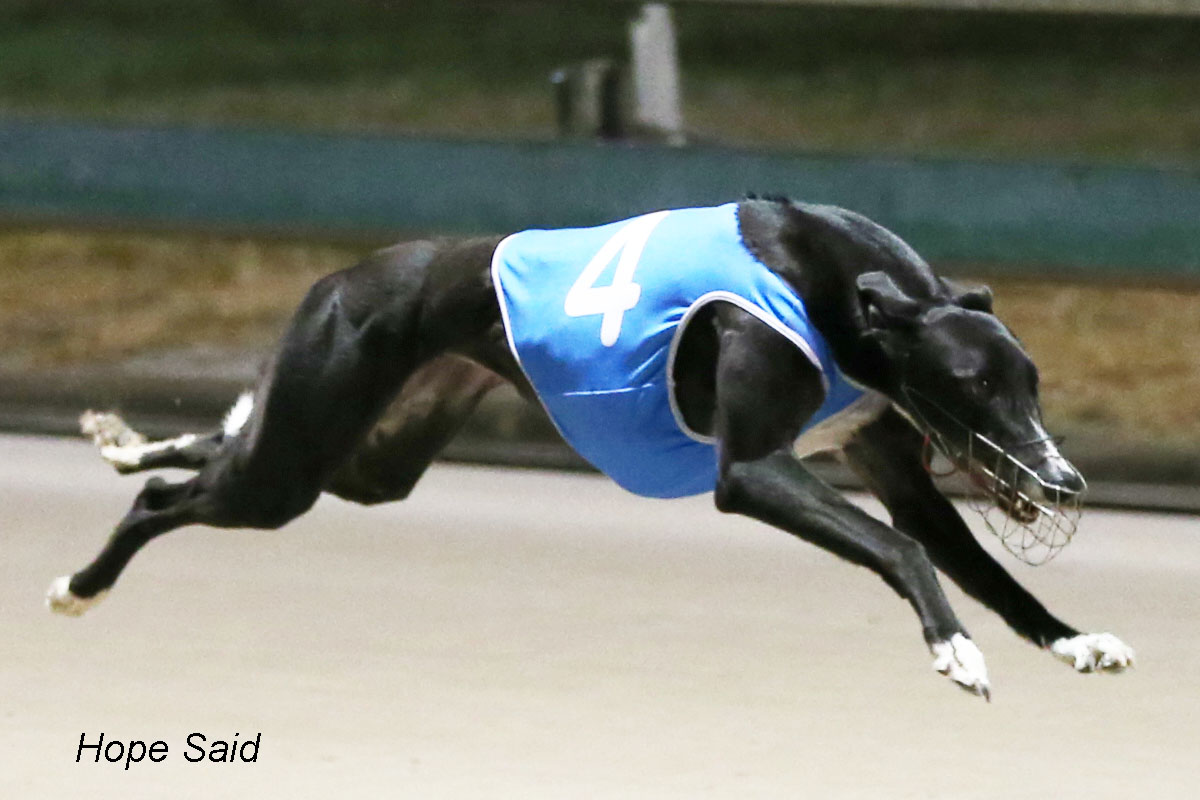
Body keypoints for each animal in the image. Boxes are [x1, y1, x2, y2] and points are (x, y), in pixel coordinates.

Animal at [51, 198, 1134, 699]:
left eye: (1032, 381)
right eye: (974, 384)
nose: (1064, 479)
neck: (839, 286)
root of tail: (346, 274)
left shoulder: (889, 462)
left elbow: (978, 566)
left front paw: (1074, 638)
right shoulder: (753, 469)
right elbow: (903, 549)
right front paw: (955, 648)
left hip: (367, 458)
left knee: (220, 444)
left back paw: (122, 442)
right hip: (300, 454)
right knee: (174, 500)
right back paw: (81, 580)